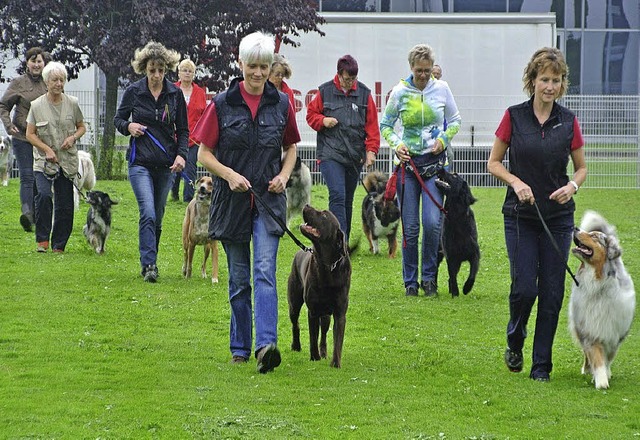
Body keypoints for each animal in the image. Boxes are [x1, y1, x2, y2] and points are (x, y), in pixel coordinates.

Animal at [288, 205, 352, 368]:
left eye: (324, 215)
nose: (306, 205)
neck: (327, 265)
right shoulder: (313, 310)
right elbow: (312, 337)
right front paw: (314, 357)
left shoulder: (339, 313)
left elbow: (337, 340)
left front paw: (335, 363)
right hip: (294, 303)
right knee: (295, 323)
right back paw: (296, 345)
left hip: (326, 315)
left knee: (323, 334)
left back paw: (323, 352)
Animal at [436, 168, 480, 296]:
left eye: (455, 175)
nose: (439, 167)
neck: (456, 218)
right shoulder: (451, 256)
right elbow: (453, 277)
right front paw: (455, 293)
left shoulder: (475, 253)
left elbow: (472, 274)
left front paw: (466, 288)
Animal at [568, 211, 636, 390]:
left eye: (594, 236)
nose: (575, 227)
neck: (597, 284)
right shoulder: (590, 328)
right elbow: (595, 356)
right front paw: (601, 381)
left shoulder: (614, 331)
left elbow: (607, 358)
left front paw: (605, 373)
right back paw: (587, 369)